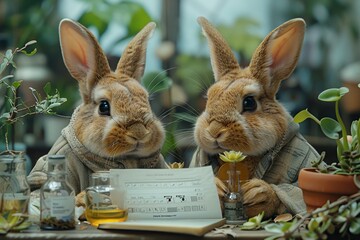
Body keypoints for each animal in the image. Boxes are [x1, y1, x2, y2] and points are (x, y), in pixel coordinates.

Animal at [191, 17, 320, 219]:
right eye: (208, 98)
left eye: (249, 102)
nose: (214, 131)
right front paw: (216, 188)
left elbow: (296, 189)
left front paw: (259, 194)